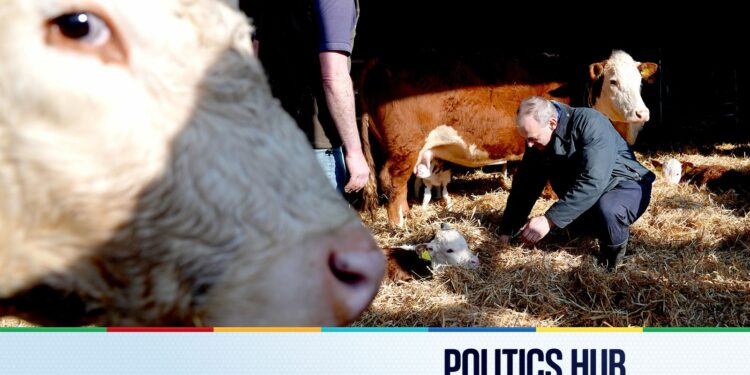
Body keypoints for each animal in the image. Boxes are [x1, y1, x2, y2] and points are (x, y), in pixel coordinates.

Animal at [362, 50, 656, 226]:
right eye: (613, 81)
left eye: (640, 82)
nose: (642, 113)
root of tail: (380, 61)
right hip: (405, 146)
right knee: (393, 181)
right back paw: (398, 223)